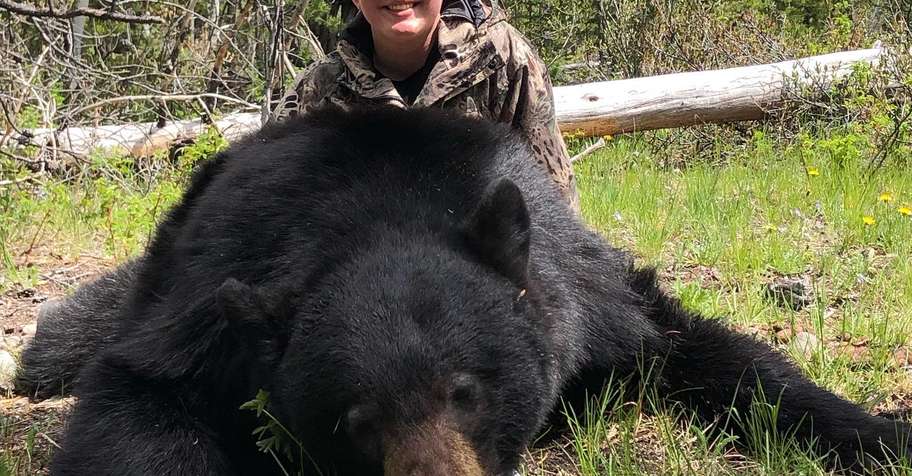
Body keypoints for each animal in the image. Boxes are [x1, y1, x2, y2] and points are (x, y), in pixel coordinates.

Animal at [17, 106, 912, 475]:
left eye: (466, 389)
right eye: (354, 418)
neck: (380, 208)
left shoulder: (584, 291)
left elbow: (710, 352)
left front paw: (880, 434)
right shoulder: (209, 306)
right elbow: (139, 401)